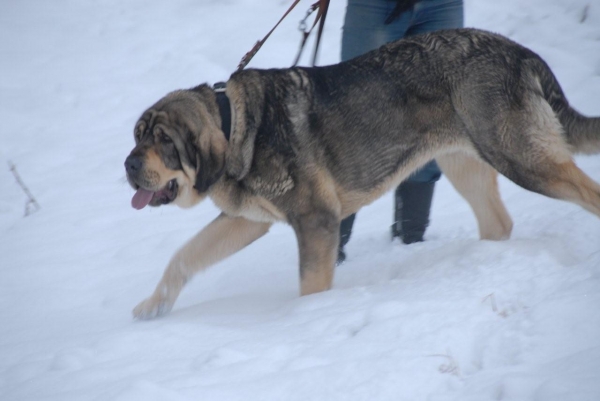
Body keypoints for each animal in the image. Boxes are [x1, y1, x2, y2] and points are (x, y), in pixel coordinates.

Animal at [125, 28, 600, 318]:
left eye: (164, 141)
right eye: (137, 136)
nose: (128, 164)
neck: (237, 126)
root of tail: (520, 52)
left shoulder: (316, 220)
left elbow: (311, 285)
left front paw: (306, 320)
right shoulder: (247, 221)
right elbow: (184, 256)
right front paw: (154, 306)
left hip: (522, 159)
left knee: (587, 192)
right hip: (466, 162)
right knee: (498, 223)